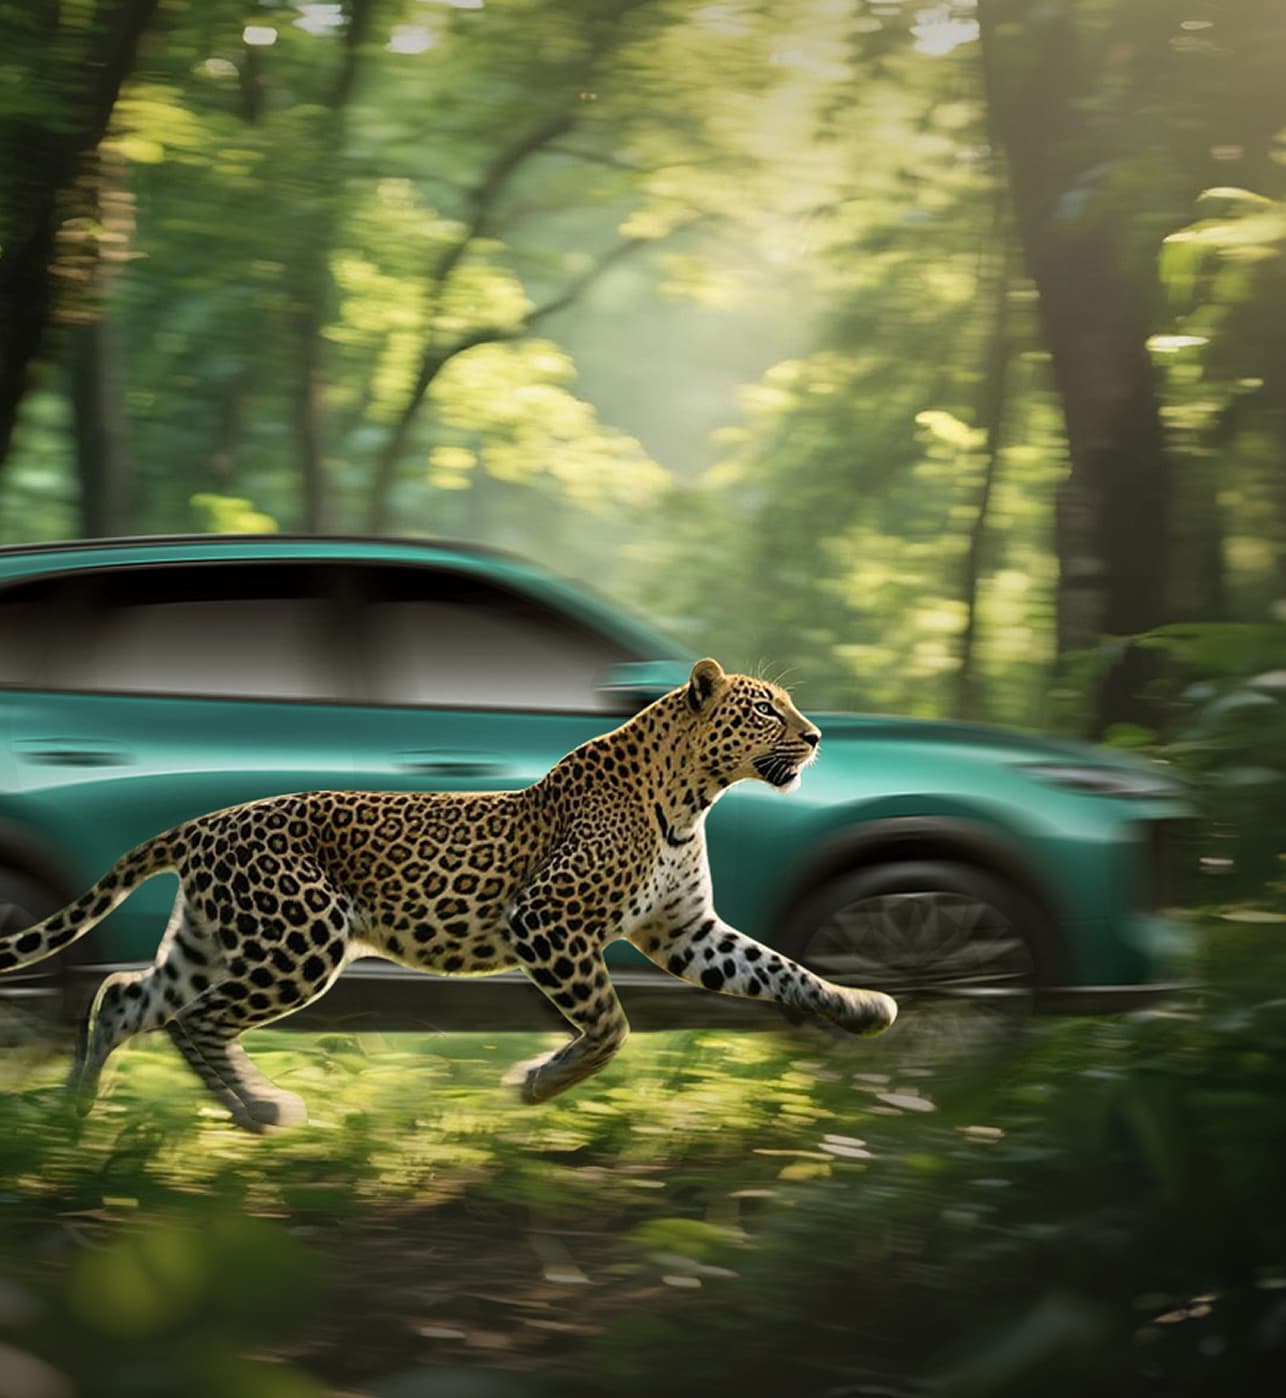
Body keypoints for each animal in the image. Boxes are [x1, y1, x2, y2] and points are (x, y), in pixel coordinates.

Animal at [0, 658, 896, 1130]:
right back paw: (258, 1109)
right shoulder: (547, 921)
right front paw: (538, 1083)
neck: (690, 797)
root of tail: (203, 824)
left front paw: (865, 1007)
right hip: (300, 942)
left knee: (126, 998)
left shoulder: (685, 931)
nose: (817, 735)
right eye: (765, 709)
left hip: (216, 940)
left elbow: (780, 969)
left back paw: (73, 1118)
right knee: (195, 1019)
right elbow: (610, 1026)